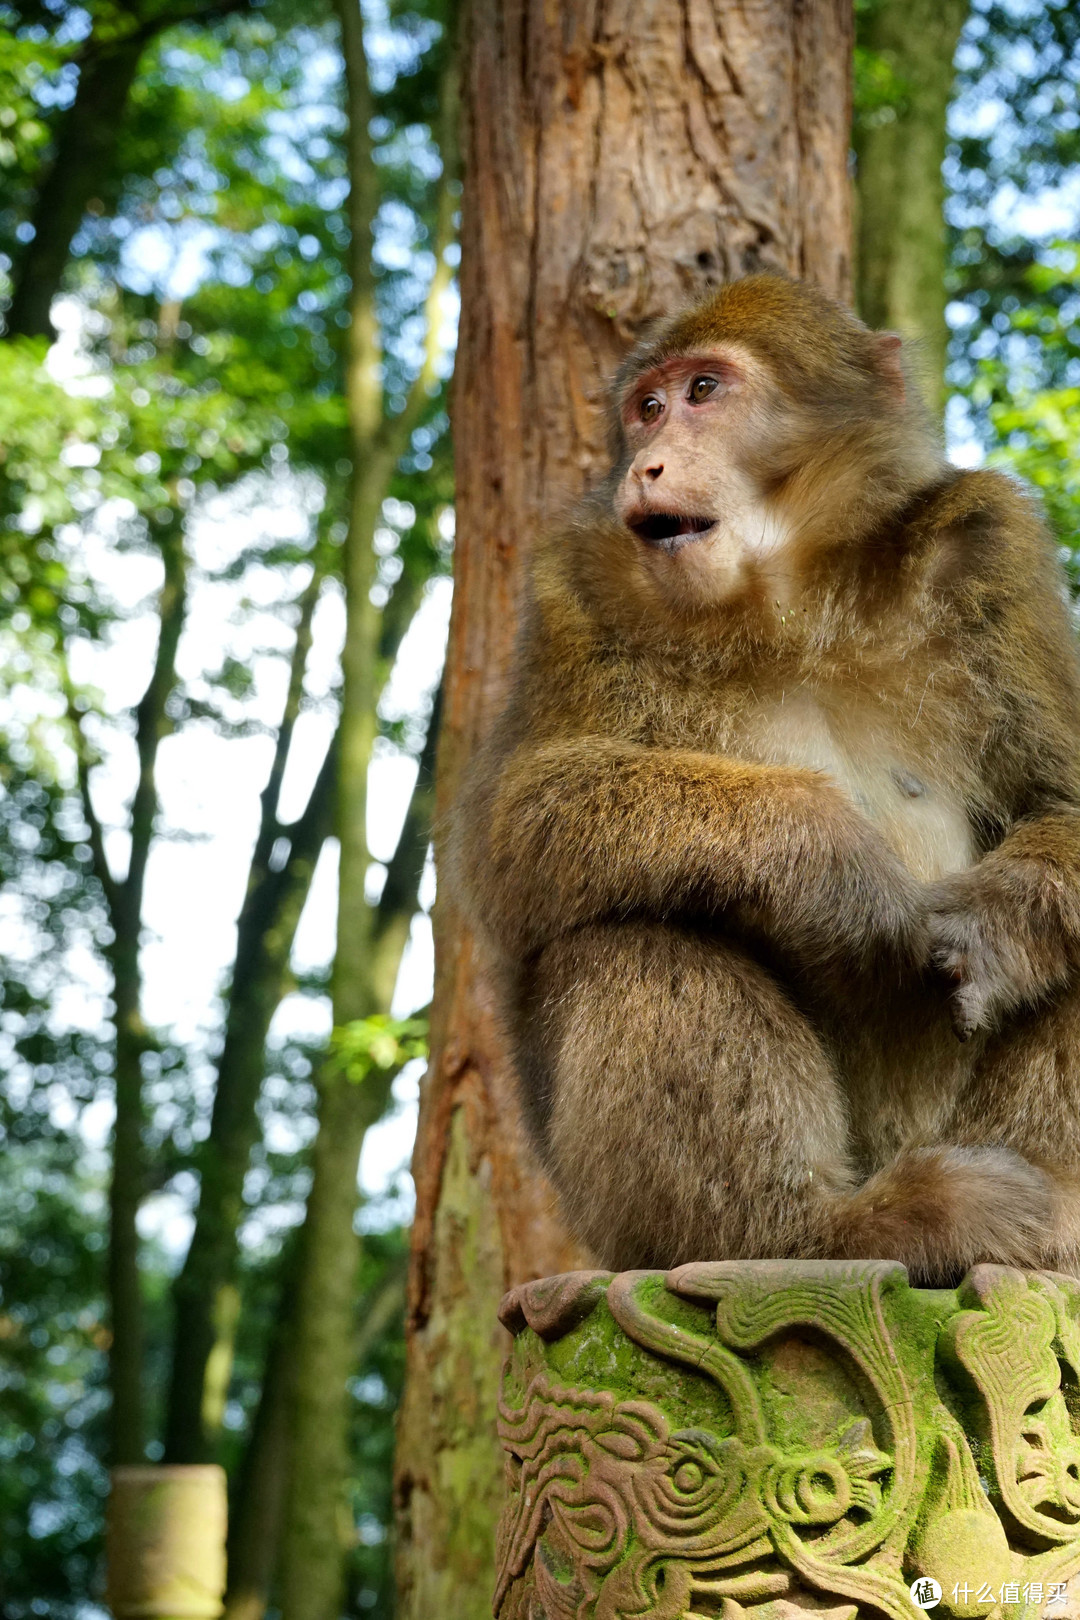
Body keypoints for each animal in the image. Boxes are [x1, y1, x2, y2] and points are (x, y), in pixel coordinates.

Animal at [446, 278, 1080, 1289]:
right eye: (648, 406)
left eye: (705, 389)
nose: (648, 463)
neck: (790, 597)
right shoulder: (571, 582)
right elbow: (511, 826)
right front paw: (827, 859)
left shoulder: (991, 544)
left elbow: (1060, 801)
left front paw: (991, 928)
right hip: (623, 1226)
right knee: (633, 926)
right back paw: (821, 1233)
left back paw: (1047, 1225)